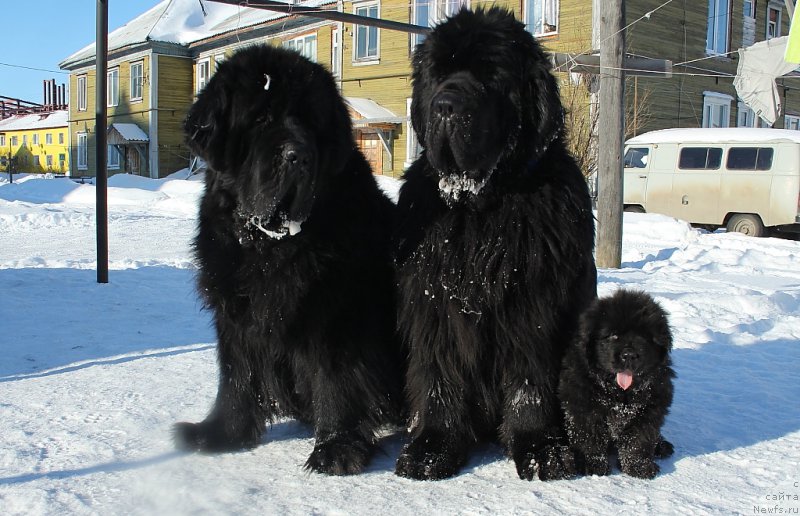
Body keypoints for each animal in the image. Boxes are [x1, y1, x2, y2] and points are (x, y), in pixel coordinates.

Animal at [172, 44, 404, 476]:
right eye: (260, 119)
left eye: (311, 123)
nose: (298, 156)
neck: (269, 246)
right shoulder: (236, 313)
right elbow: (236, 376)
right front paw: (221, 434)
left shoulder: (335, 313)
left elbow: (335, 378)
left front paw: (336, 448)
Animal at [396, 8, 596, 482]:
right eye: (438, 75)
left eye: (492, 76)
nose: (445, 106)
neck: (482, 211)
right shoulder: (436, 308)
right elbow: (440, 377)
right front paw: (432, 447)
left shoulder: (531, 307)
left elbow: (529, 382)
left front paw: (541, 449)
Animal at [556, 290, 676, 480]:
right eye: (613, 335)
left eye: (644, 337)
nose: (629, 355)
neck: (620, 394)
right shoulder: (583, 407)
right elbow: (589, 438)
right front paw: (593, 466)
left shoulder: (649, 410)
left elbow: (638, 441)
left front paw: (639, 468)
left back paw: (662, 447)